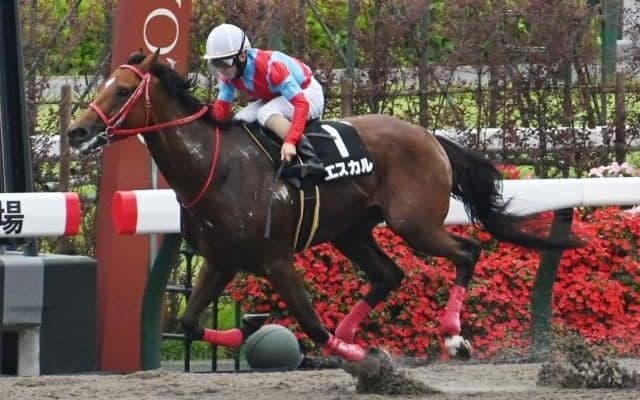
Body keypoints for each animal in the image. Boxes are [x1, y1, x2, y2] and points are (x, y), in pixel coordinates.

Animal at [67, 50, 583, 364]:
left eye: (121, 90)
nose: (76, 131)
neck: (217, 168)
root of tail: (430, 136)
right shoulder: (221, 260)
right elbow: (192, 323)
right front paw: (239, 335)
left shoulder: (276, 260)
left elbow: (313, 327)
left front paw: (368, 358)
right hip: (352, 230)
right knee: (388, 275)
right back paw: (358, 330)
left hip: (414, 223)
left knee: (466, 252)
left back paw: (454, 335)